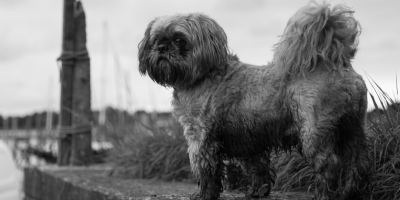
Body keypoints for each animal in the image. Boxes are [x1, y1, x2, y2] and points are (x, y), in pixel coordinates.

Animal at [138, 1, 368, 200]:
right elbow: (257, 168)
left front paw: (204, 195)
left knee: (328, 164)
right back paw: (348, 192)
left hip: (314, 133)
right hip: (352, 130)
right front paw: (258, 191)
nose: (161, 47)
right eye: (155, 40)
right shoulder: (249, 139)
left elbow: (206, 171)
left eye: (179, 39)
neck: (203, 74)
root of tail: (338, 63)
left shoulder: (200, 138)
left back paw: (324, 195)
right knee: (355, 163)